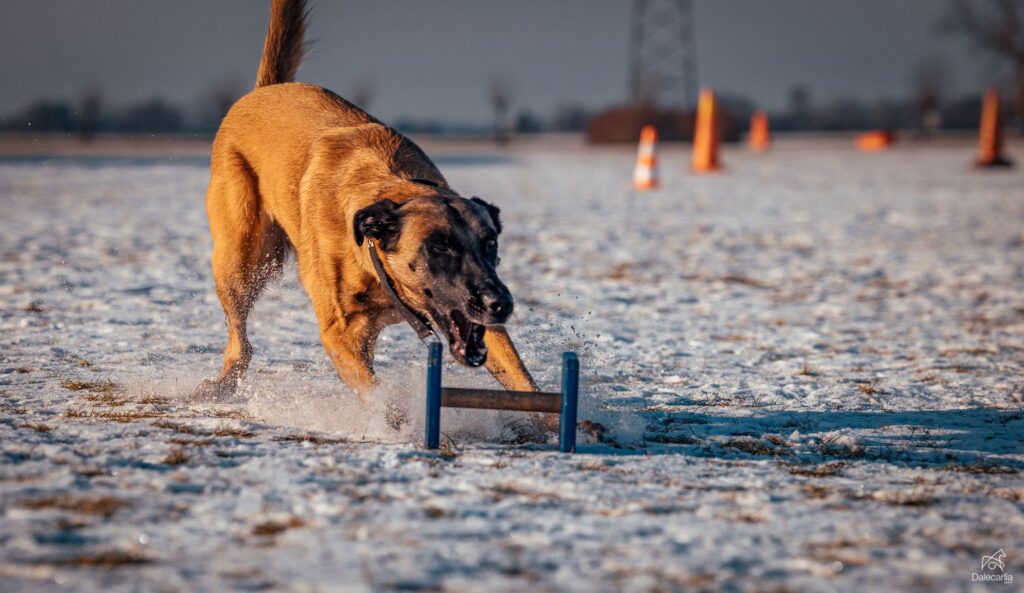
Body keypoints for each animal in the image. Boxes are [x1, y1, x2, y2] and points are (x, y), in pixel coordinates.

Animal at [193, 0, 544, 426]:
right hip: (241, 260)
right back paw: (223, 383)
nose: (501, 303)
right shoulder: (339, 334)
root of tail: (262, 91)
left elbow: (524, 383)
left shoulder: (474, 318)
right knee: (240, 339)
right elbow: (381, 399)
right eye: (438, 247)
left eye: (490, 243)